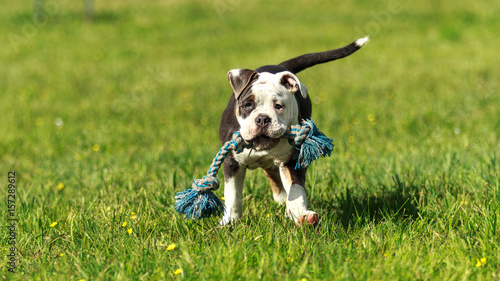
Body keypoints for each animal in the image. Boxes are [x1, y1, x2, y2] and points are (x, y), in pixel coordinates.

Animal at [219, 37, 368, 225]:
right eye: (247, 105)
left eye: (278, 106)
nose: (262, 119)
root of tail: (279, 66)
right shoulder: (232, 162)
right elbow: (233, 195)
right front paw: (230, 222)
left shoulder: (293, 160)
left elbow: (296, 189)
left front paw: (301, 214)